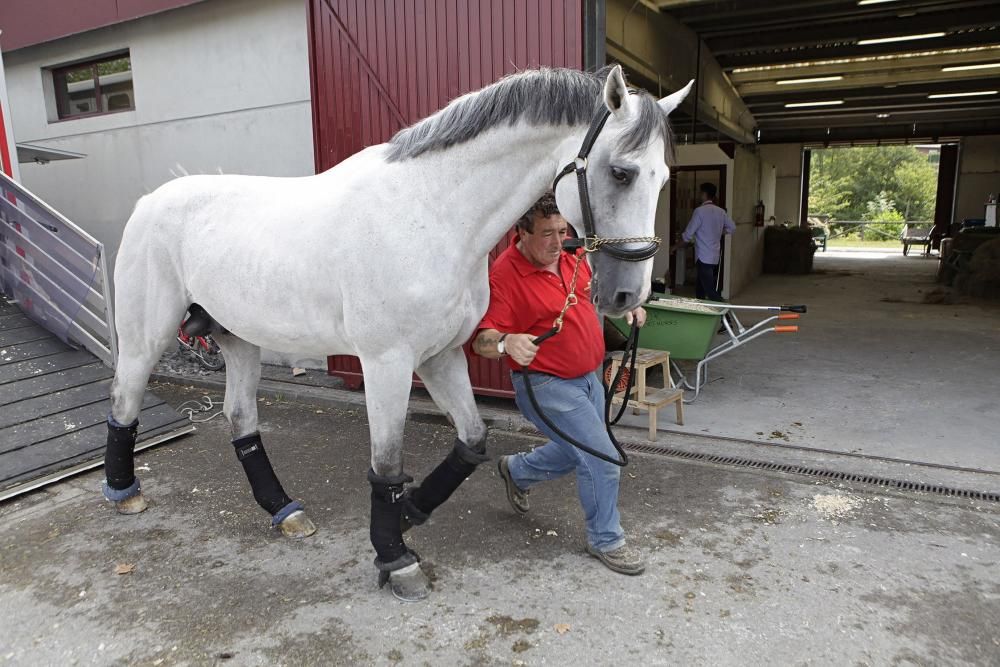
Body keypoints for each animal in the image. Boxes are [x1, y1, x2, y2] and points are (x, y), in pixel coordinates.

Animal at [105, 65, 692, 604]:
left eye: (663, 178)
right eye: (620, 173)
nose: (627, 296)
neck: (430, 213)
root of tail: (148, 203)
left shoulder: (442, 356)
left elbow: (472, 442)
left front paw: (410, 512)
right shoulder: (386, 363)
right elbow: (386, 464)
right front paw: (395, 559)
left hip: (241, 339)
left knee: (241, 420)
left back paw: (284, 511)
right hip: (145, 338)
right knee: (124, 403)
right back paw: (123, 493)